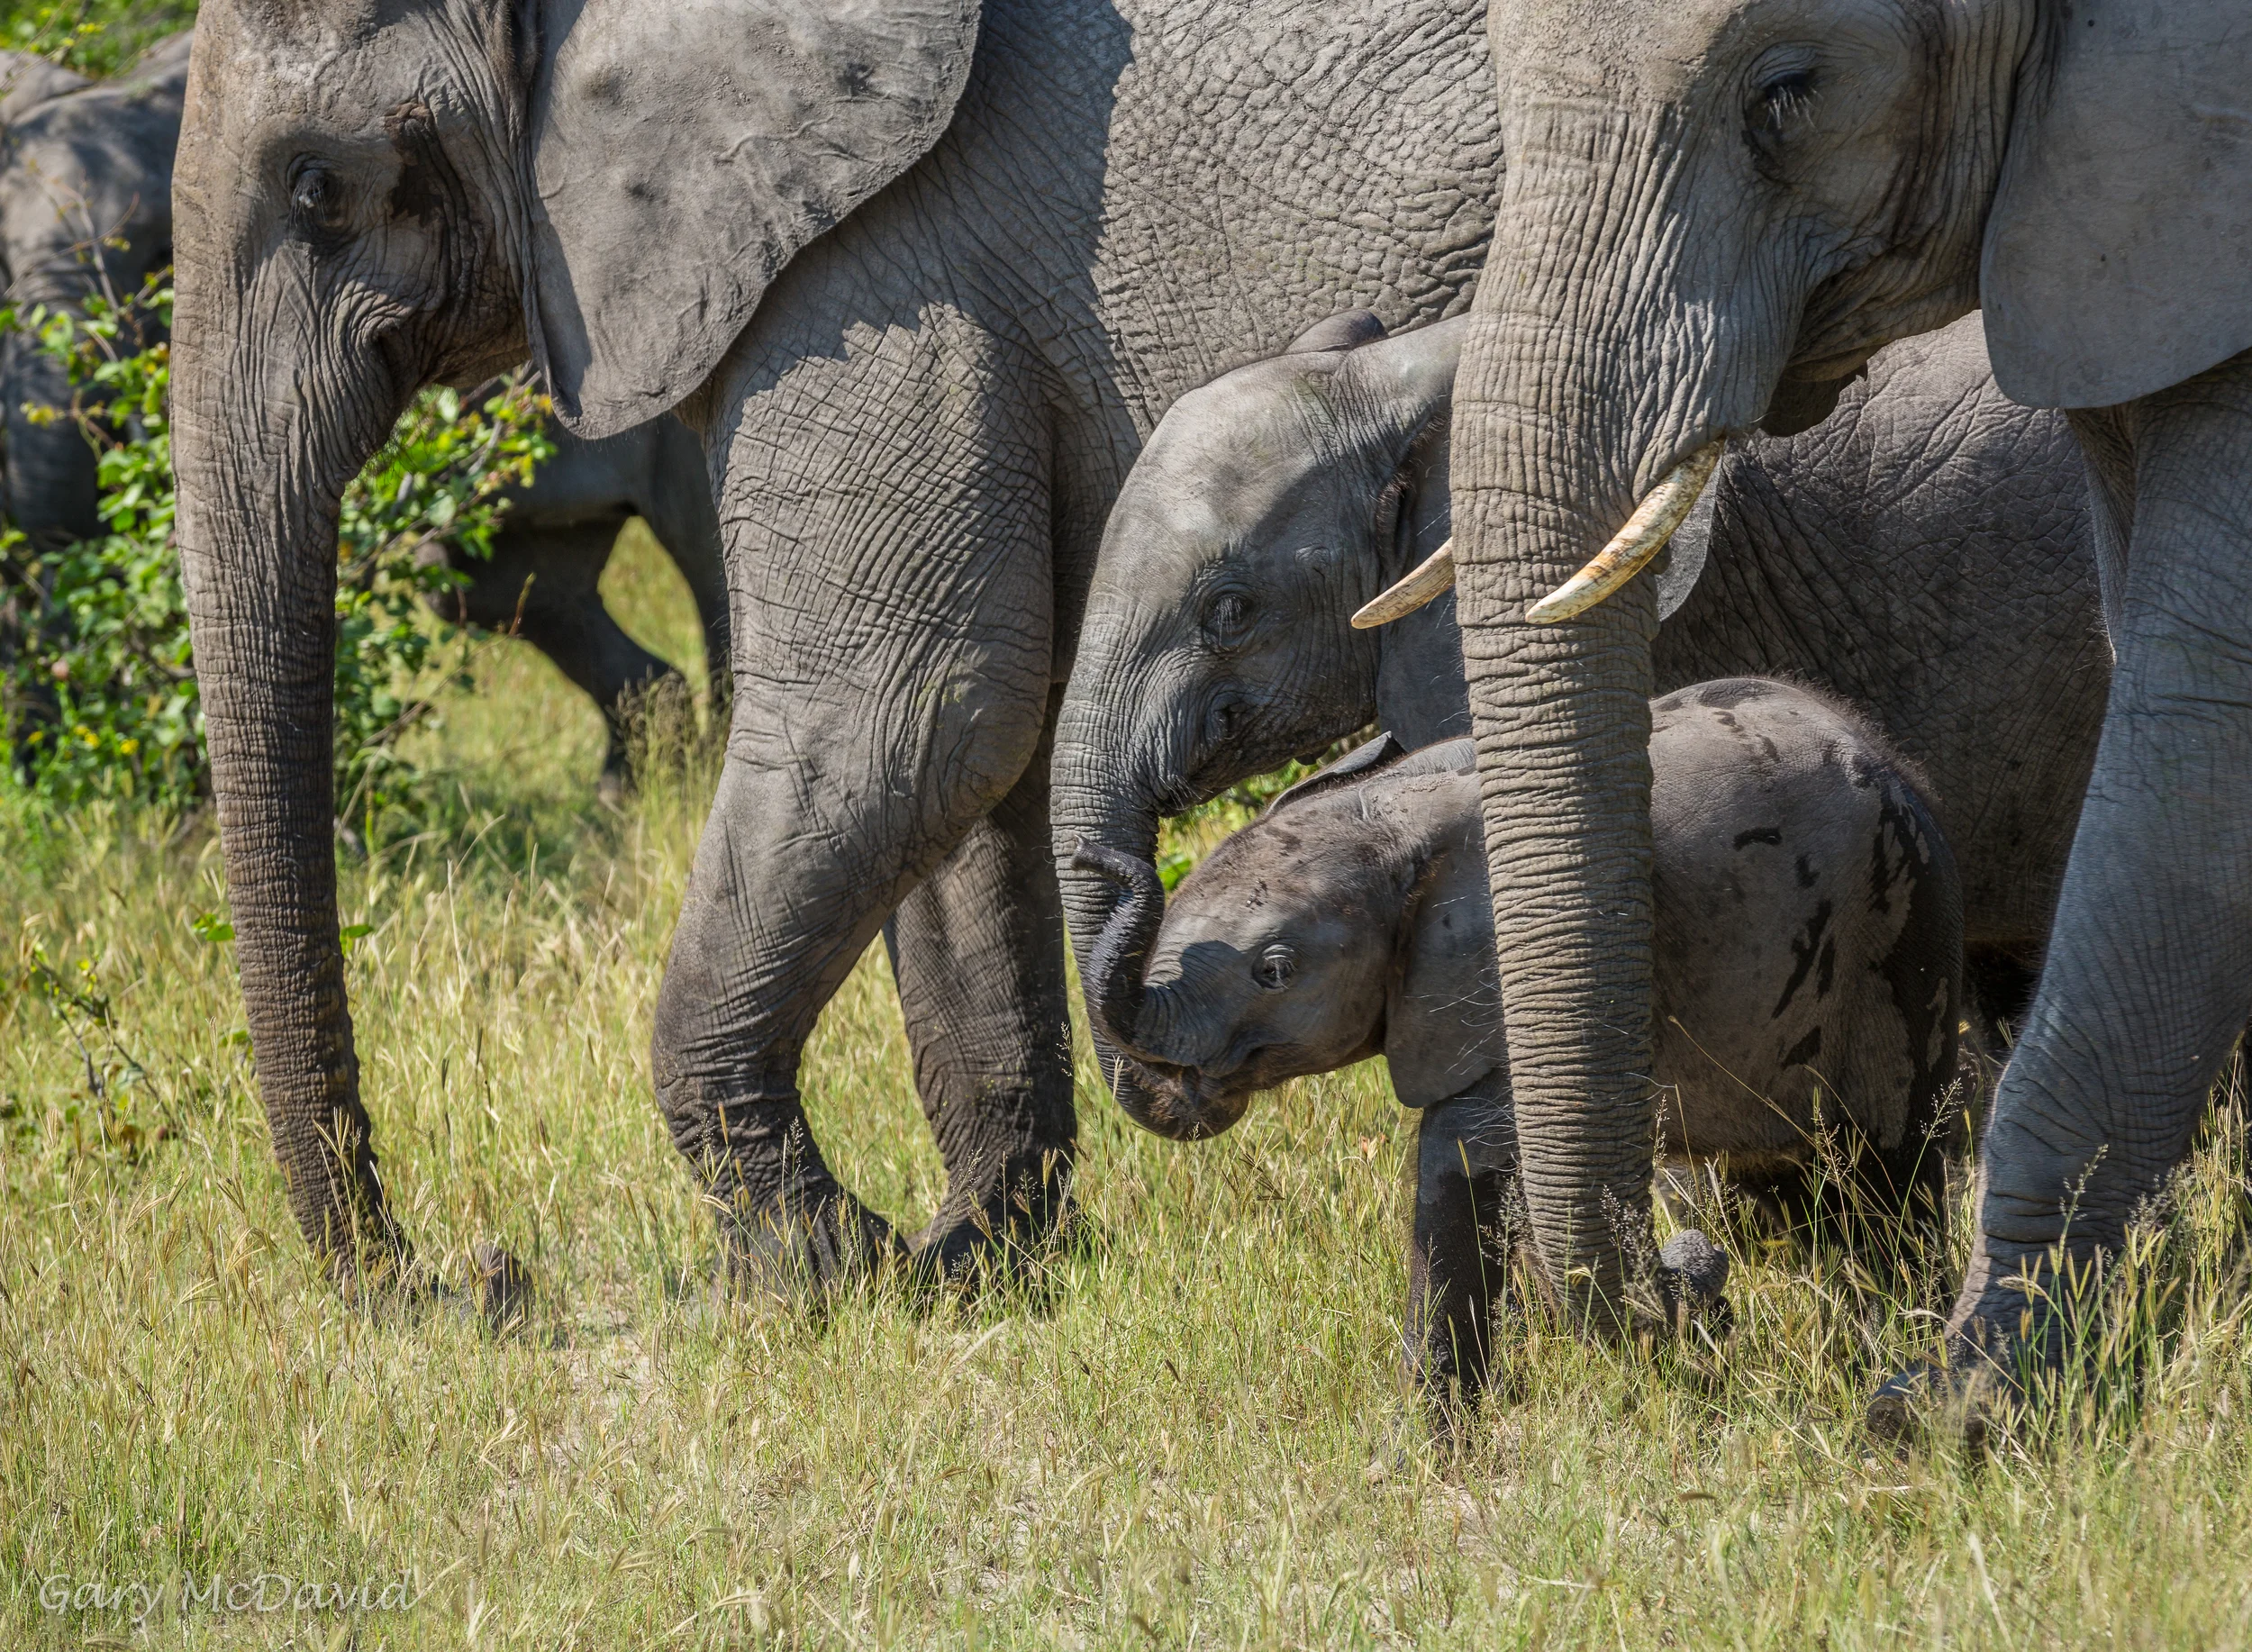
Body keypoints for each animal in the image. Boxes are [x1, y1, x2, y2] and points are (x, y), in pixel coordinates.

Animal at [165, 0, 1505, 1303]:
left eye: (318, 186)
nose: (477, 1277)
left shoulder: (879, 270)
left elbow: (901, 715)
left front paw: (817, 1273)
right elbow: (965, 770)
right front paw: (973, 1266)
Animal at [1076, 683, 1962, 1407]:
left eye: (1275, 970)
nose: (1098, 853)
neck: (1389, 812)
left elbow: (1457, 1149)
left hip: (1901, 929)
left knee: (1892, 1174)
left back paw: (1900, 1357)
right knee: (1793, 1184)